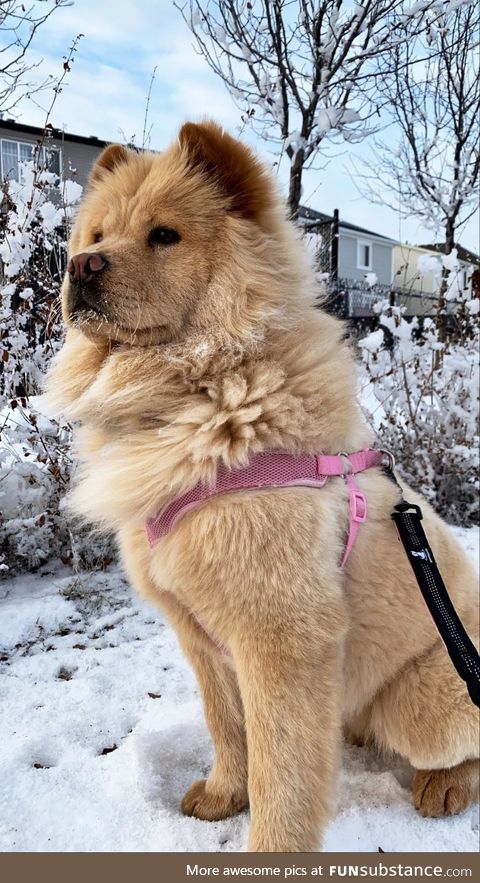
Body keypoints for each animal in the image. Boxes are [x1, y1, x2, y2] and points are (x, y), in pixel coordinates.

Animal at [43, 121, 478, 852]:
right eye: (96, 236)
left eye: (164, 235)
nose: (81, 267)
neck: (198, 395)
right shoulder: (200, 635)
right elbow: (229, 728)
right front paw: (222, 796)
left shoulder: (281, 640)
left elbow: (283, 768)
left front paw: (271, 846)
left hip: (426, 701)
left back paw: (443, 786)